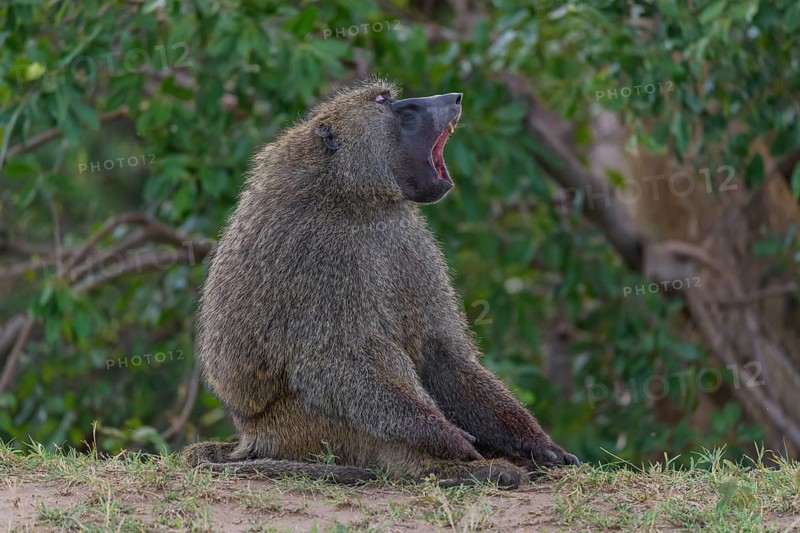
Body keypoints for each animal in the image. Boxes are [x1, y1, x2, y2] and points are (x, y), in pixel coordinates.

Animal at [183, 78, 579, 489]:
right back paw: (453, 469)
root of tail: (251, 436)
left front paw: (535, 443)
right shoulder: (319, 251)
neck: (352, 195)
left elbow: (440, 351)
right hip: (297, 431)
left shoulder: (406, 235)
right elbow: (329, 363)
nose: (454, 98)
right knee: (374, 359)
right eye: (383, 101)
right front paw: (448, 440)